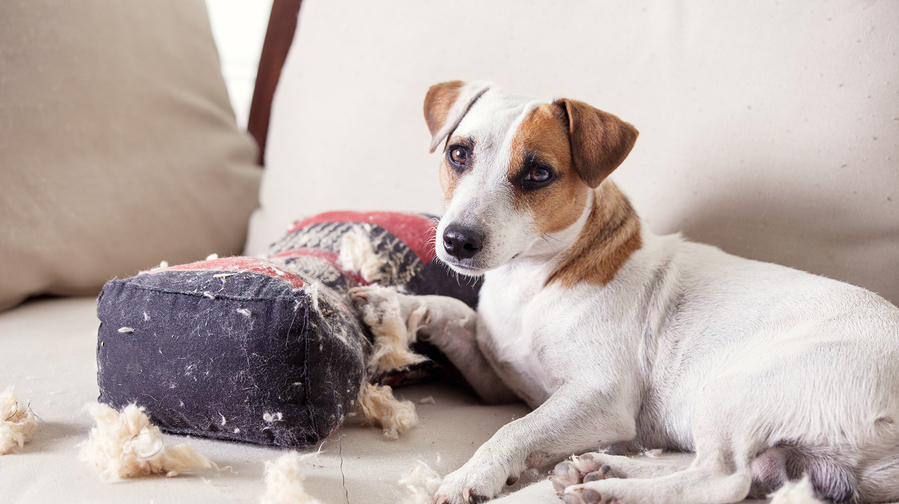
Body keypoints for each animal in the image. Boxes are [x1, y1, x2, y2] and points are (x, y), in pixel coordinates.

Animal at [350, 80, 899, 502]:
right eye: (457, 153)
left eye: (538, 173)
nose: (457, 240)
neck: (534, 280)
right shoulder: (497, 380)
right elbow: (455, 312)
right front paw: (393, 302)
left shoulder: (597, 398)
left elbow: (514, 429)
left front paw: (472, 473)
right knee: (732, 469)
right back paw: (601, 468)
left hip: (730, 391)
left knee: (723, 479)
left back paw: (610, 490)